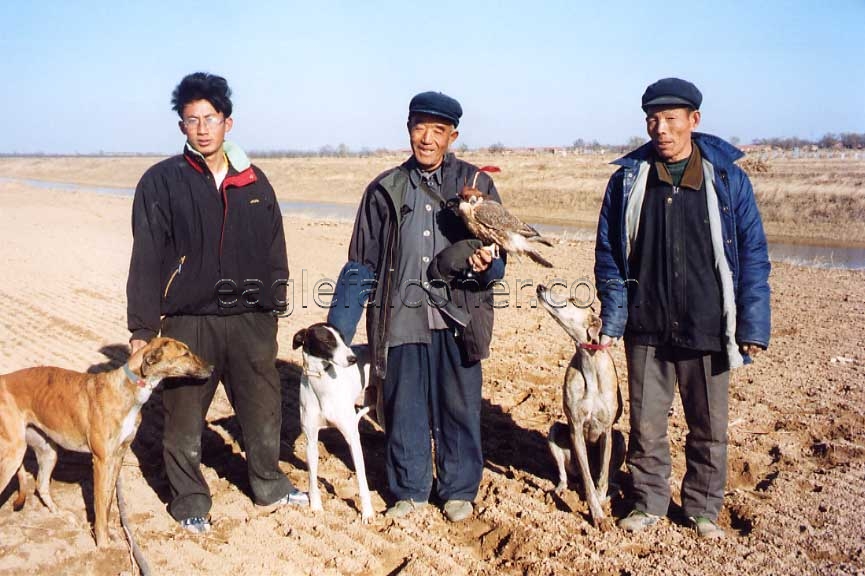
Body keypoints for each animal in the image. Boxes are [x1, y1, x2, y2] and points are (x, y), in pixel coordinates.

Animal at [0, 336, 211, 548]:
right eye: (185, 353)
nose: (212, 367)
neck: (129, 388)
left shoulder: (117, 457)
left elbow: (108, 502)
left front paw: (109, 537)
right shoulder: (101, 460)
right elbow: (100, 505)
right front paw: (103, 546)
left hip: (47, 451)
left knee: (41, 485)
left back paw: (62, 515)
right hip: (13, 455)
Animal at [292, 324, 372, 520]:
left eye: (343, 338)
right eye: (327, 340)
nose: (353, 359)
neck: (321, 383)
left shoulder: (352, 438)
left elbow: (362, 479)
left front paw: (367, 513)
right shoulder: (311, 440)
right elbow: (312, 478)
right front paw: (316, 507)